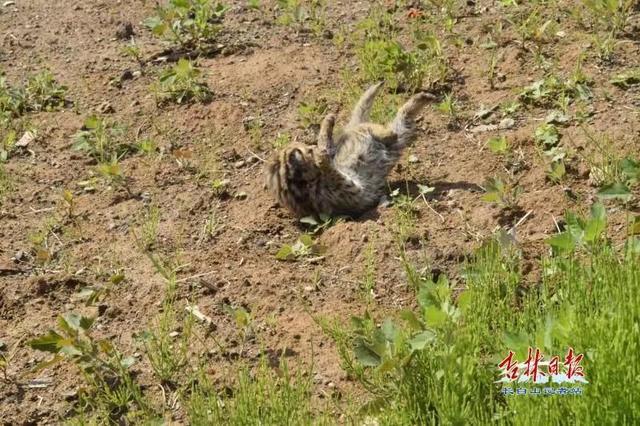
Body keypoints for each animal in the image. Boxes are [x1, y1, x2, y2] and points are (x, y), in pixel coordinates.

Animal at [264, 81, 436, 218]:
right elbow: (332, 170)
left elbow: (326, 145)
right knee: (397, 122)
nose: (311, 148)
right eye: (303, 150)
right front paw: (320, 156)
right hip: (399, 133)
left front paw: (327, 122)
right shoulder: (348, 192)